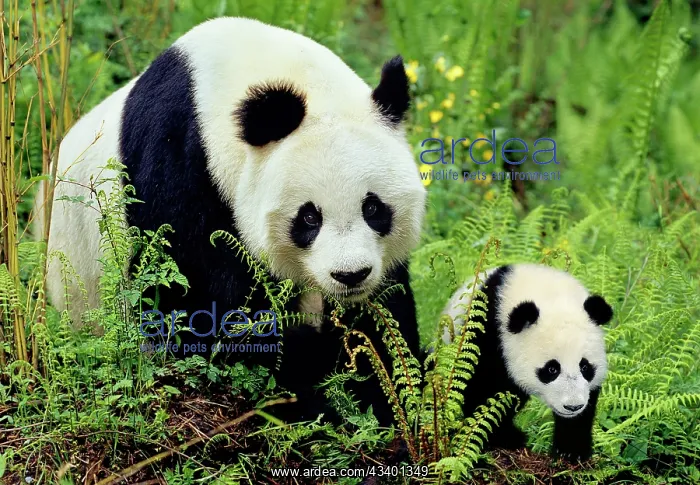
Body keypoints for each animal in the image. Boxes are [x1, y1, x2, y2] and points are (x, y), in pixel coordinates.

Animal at [37, 17, 426, 426]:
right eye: (309, 217)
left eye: (373, 208)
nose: (350, 275)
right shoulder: (177, 166)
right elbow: (197, 304)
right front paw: (307, 384)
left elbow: (385, 310)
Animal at [440, 263, 612, 461]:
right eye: (551, 369)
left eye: (585, 366)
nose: (573, 406)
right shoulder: (487, 332)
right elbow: (484, 388)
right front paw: (504, 438)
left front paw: (571, 450)